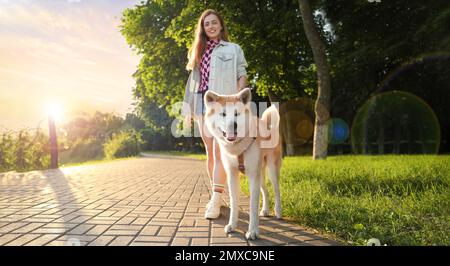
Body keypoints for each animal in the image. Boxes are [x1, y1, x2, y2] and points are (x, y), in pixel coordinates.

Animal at [204, 88, 282, 240]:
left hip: (271, 171)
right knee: (266, 191)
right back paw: (265, 210)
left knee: (276, 191)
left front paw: (253, 231)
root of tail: (269, 126)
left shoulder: (253, 177)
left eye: (236, 113)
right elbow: (234, 203)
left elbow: (252, 206)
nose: (232, 125)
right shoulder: (232, 175)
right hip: (260, 174)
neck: (237, 147)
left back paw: (278, 211)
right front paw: (232, 225)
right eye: (223, 114)